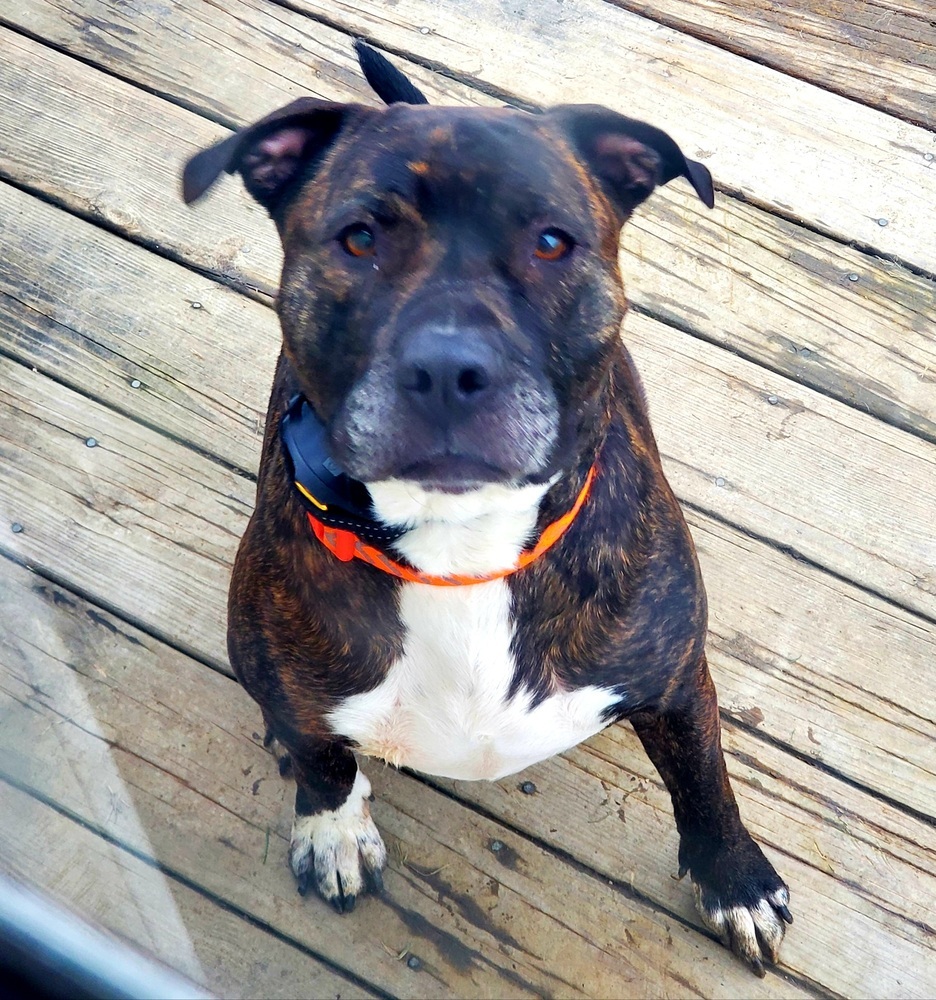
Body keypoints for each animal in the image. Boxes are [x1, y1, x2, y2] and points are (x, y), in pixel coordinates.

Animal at [181, 41, 788, 976]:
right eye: (359, 238)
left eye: (551, 242)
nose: (446, 367)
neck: (462, 546)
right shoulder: (290, 684)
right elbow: (322, 761)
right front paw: (333, 833)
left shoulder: (677, 678)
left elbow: (705, 779)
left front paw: (735, 881)